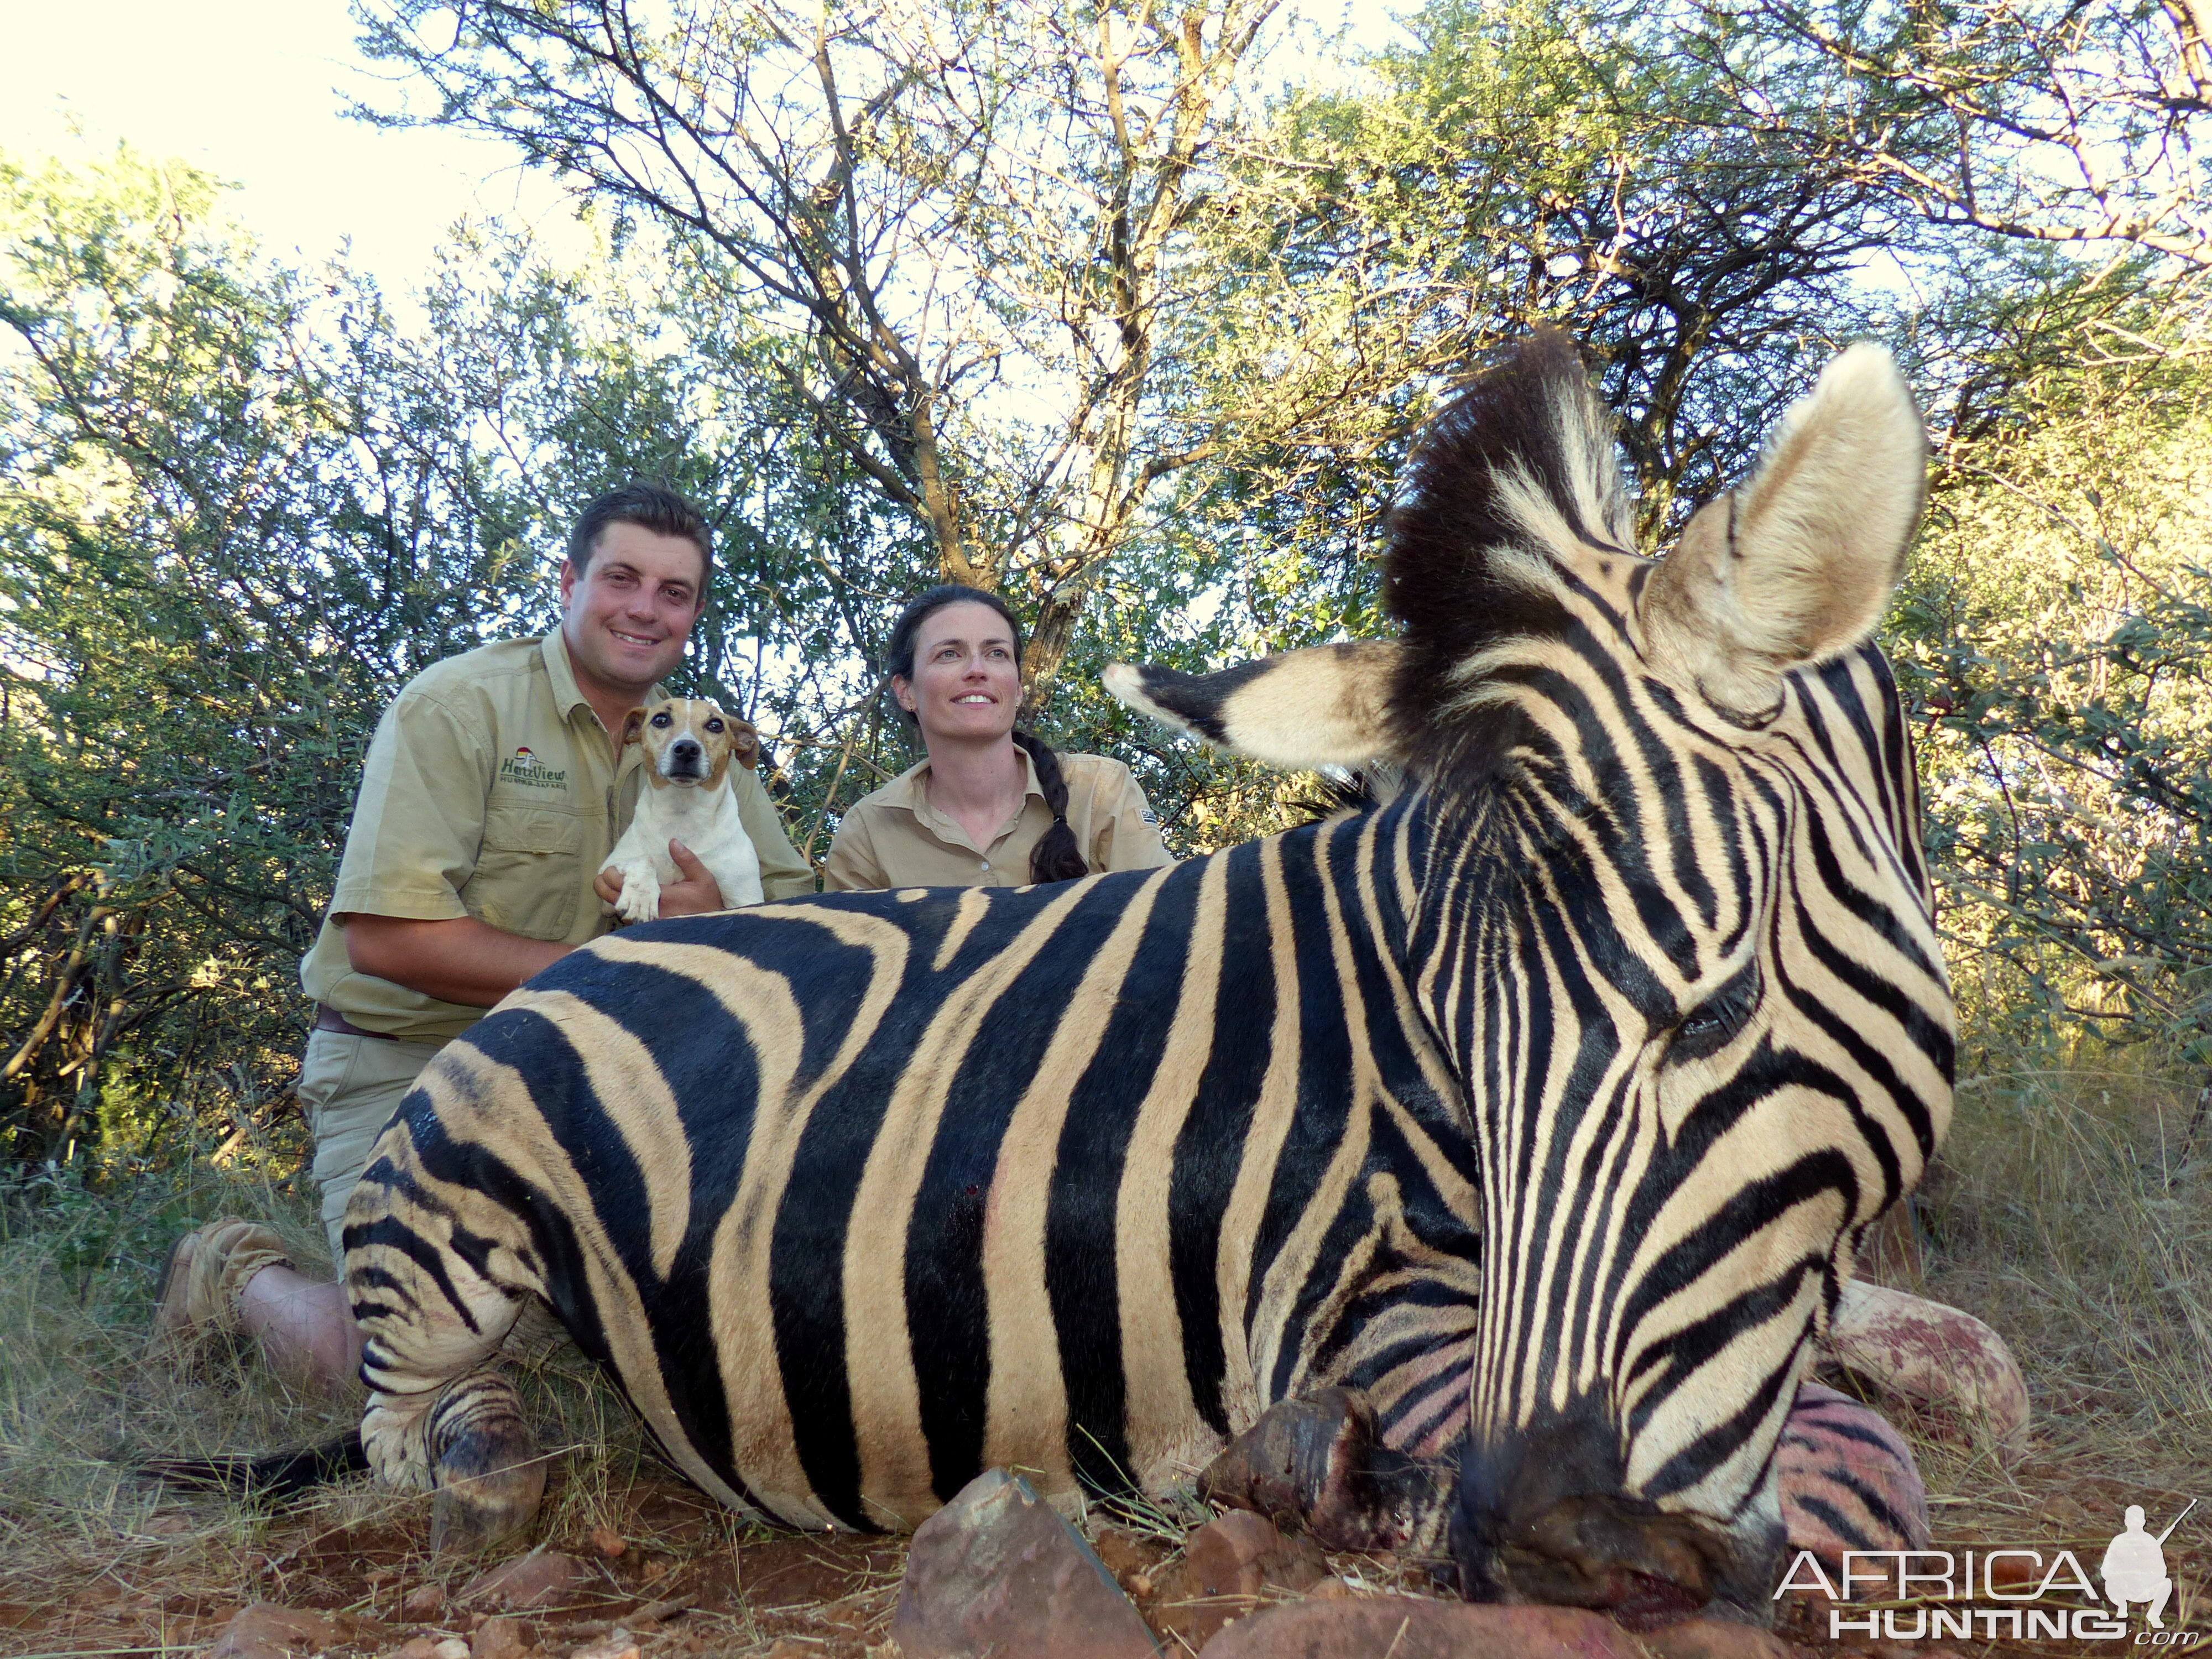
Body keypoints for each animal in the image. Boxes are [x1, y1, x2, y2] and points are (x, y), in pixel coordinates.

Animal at [602, 690, 765, 925]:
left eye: (716, 725)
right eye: (661, 720)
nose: (687, 749)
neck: (683, 812)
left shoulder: (745, 896)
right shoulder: (607, 872)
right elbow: (642, 859)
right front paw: (641, 898)